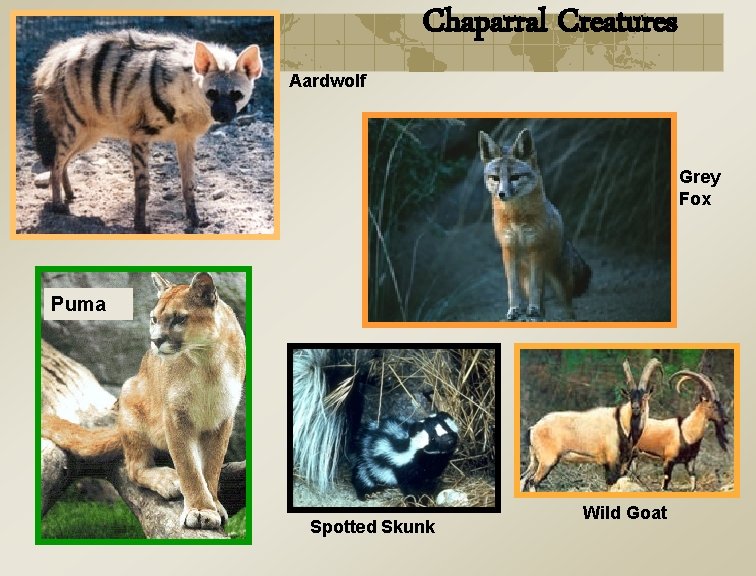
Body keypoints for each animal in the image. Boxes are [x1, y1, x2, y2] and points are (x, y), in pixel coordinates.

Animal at [32, 30, 263, 232]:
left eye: (236, 94)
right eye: (212, 93)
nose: (222, 115)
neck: (187, 104)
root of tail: (54, 56)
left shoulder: (186, 138)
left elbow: (188, 183)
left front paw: (195, 220)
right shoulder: (140, 134)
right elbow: (142, 186)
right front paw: (141, 226)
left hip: (91, 132)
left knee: (63, 161)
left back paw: (69, 194)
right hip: (76, 125)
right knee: (56, 161)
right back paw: (58, 205)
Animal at [478, 129, 591, 321]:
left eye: (515, 177)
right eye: (495, 178)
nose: (502, 194)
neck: (515, 218)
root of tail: (566, 241)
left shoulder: (535, 247)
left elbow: (535, 288)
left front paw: (532, 308)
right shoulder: (508, 249)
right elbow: (512, 287)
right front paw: (514, 309)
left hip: (561, 286)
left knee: (569, 310)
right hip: (528, 276)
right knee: (542, 301)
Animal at [520, 358, 662, 492]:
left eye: (644, 396)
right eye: (630, 396)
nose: (635, 408)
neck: (622, 422)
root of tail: (533, 429)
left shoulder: (623, 463)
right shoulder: (612, 461)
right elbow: (611, 484)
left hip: (535, 459)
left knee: (523, 477)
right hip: (547, 460)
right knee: (533, 481)